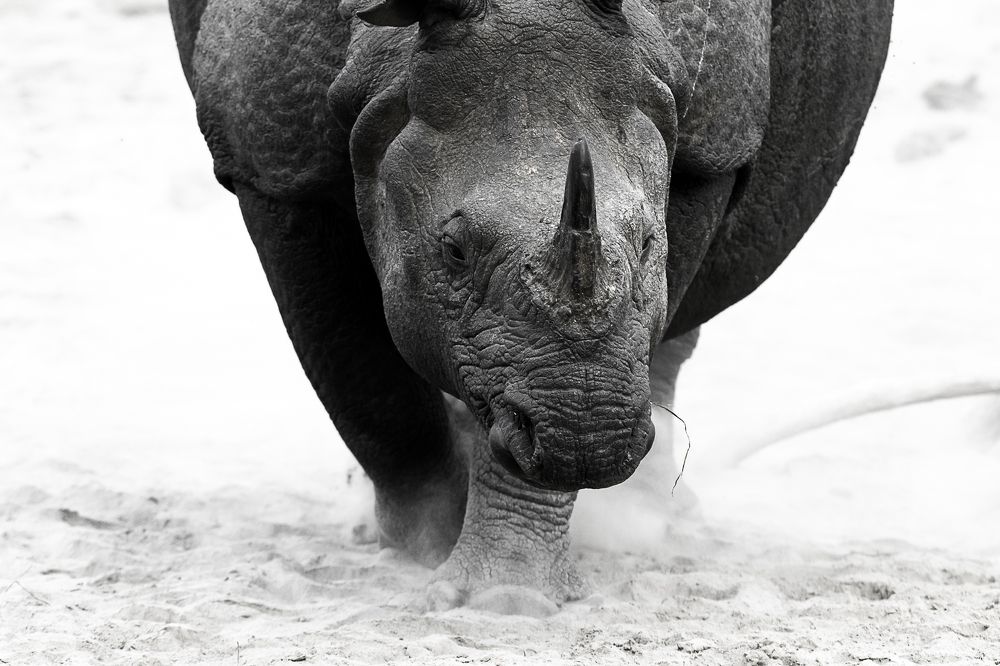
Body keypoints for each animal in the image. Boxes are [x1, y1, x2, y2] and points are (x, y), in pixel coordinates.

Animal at [168, 0, 893, 610]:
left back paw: (658, 517)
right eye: (453, 251)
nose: (592, 442)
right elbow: (368, 388)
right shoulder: (273, 165)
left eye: (649, 241)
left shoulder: (710, 145)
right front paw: (424, 539)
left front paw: (505, 592)